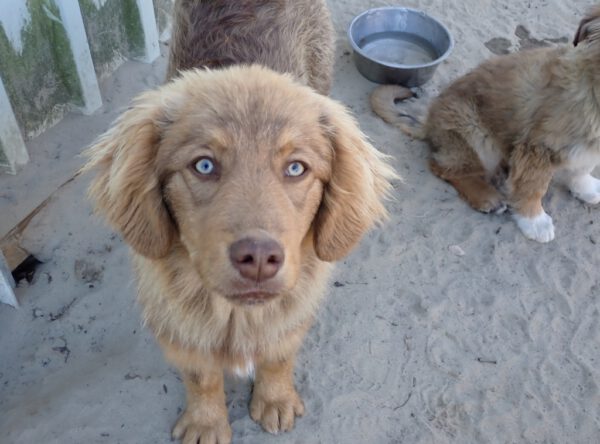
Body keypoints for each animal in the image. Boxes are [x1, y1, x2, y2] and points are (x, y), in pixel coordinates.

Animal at [81, 1, 398, 442]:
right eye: (204, 165)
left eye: (296, 168)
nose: (259, 258)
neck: (236, 316)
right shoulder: (178, 322)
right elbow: (201, 376)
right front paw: (206, 422)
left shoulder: (294, 308)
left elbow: (278, 355)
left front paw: (275, 399)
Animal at [370, 5, 600, 243]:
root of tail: (428, 121)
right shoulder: (538, 149)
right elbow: (533, 186)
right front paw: (535, 221)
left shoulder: (588, 146)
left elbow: (582, 168)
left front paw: (586, 188)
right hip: (478, 137)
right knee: (445, 168)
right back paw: (487, 197)